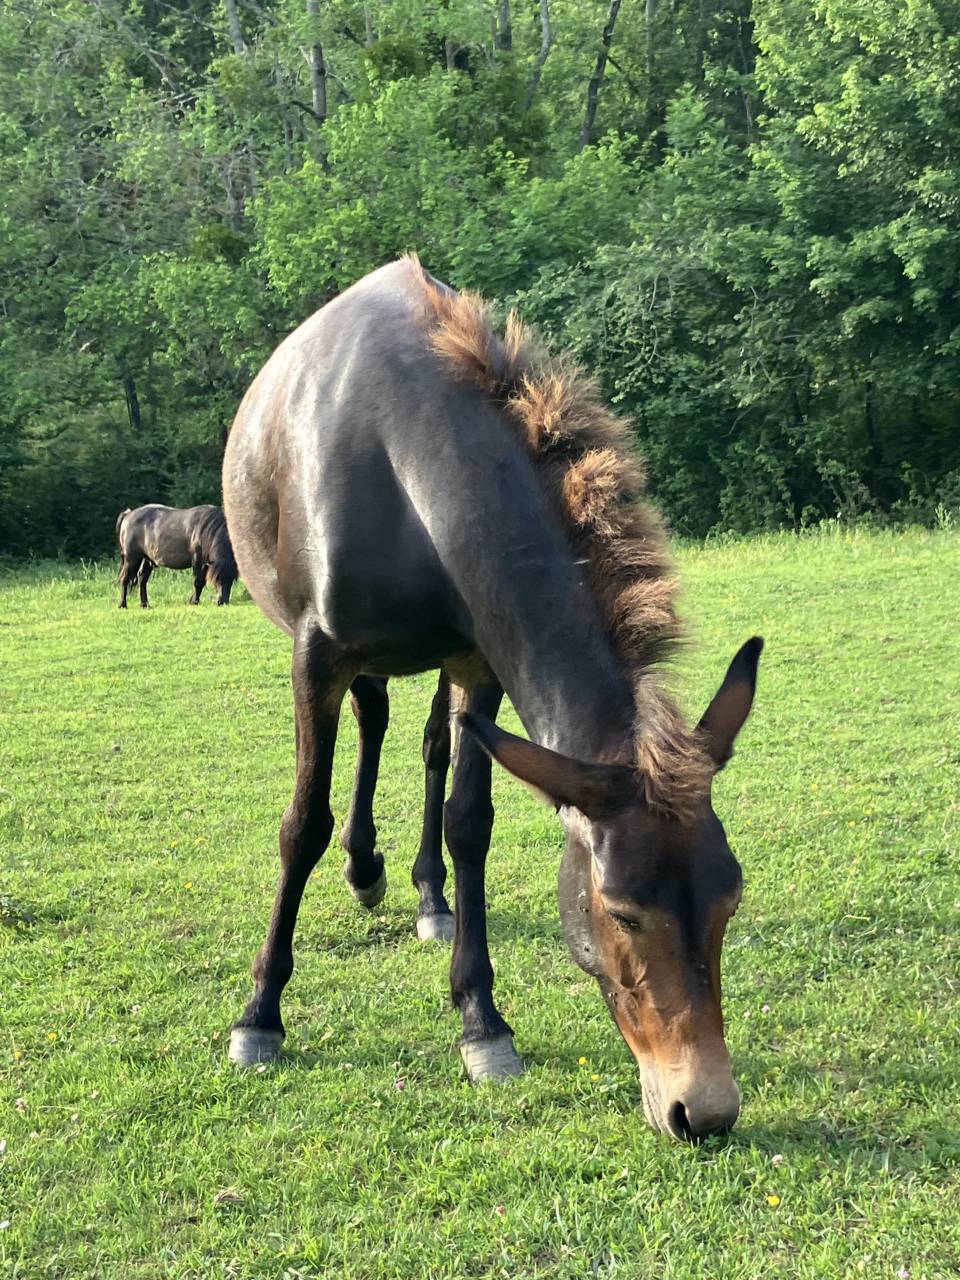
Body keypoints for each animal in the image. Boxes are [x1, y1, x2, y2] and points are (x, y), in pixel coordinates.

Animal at [222, 256, 763, 1141]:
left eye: (730, 897)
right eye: (621, 911)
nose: (704, 1110)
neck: (406, 464)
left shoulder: (480, 658)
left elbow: (468, 821)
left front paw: (481, 1019)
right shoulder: (316, 651)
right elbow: (302, 824)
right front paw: (260, 1014)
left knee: (429, 747)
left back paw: (423, 892)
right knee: (371, 723)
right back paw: (363, 868)